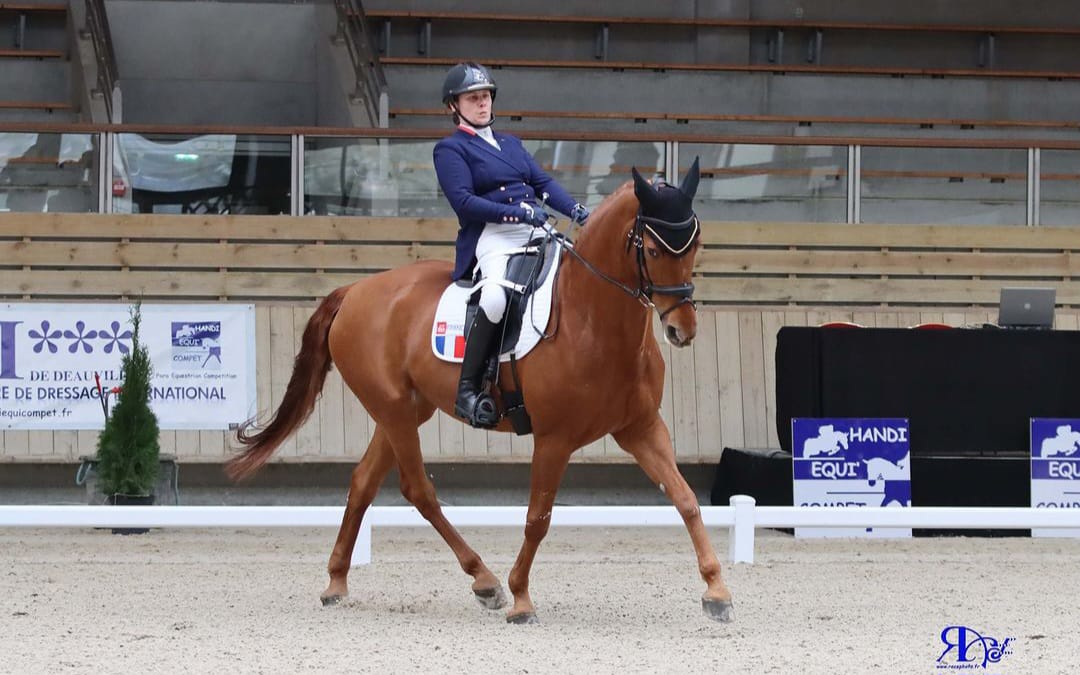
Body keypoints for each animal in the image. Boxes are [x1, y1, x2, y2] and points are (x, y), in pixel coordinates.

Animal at [226, 162, 734, 622]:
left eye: (695, 244)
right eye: (652, 247)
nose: (682, 329)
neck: (592, 319)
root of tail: (355, 290)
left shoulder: (640, 427)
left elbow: (686, 500)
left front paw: (716, 591)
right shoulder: (555, 439)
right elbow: (538, 518)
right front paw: (521, 597)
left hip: (404, 411)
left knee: (363, 482)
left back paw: (336, 582)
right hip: (393, 409)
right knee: (417, 489)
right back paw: (485, 580)